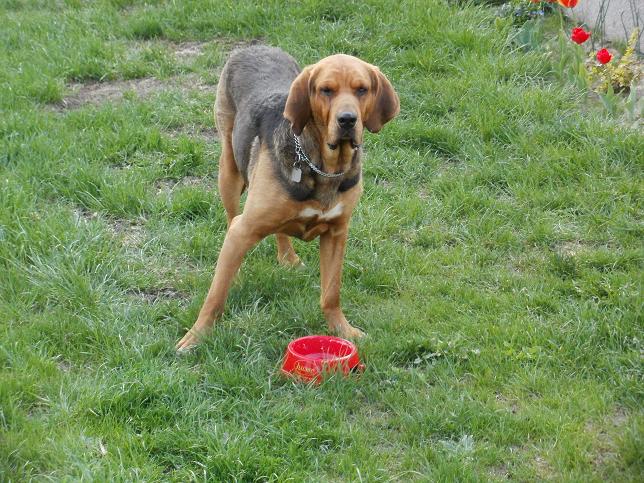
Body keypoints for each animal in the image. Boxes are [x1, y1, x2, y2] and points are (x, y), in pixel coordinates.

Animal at [176, 46, 398, 352]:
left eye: (362, 89)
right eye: (326, 90)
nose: (347, 119)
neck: (324, 166)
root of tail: (254, 46)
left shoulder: (337, 233)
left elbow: (331, 293)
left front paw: (343, 330)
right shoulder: (243, 229)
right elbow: (215, 297)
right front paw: (196, 336)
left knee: (280, 230)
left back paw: (287, 257)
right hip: (229, 171)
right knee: (231, 217)